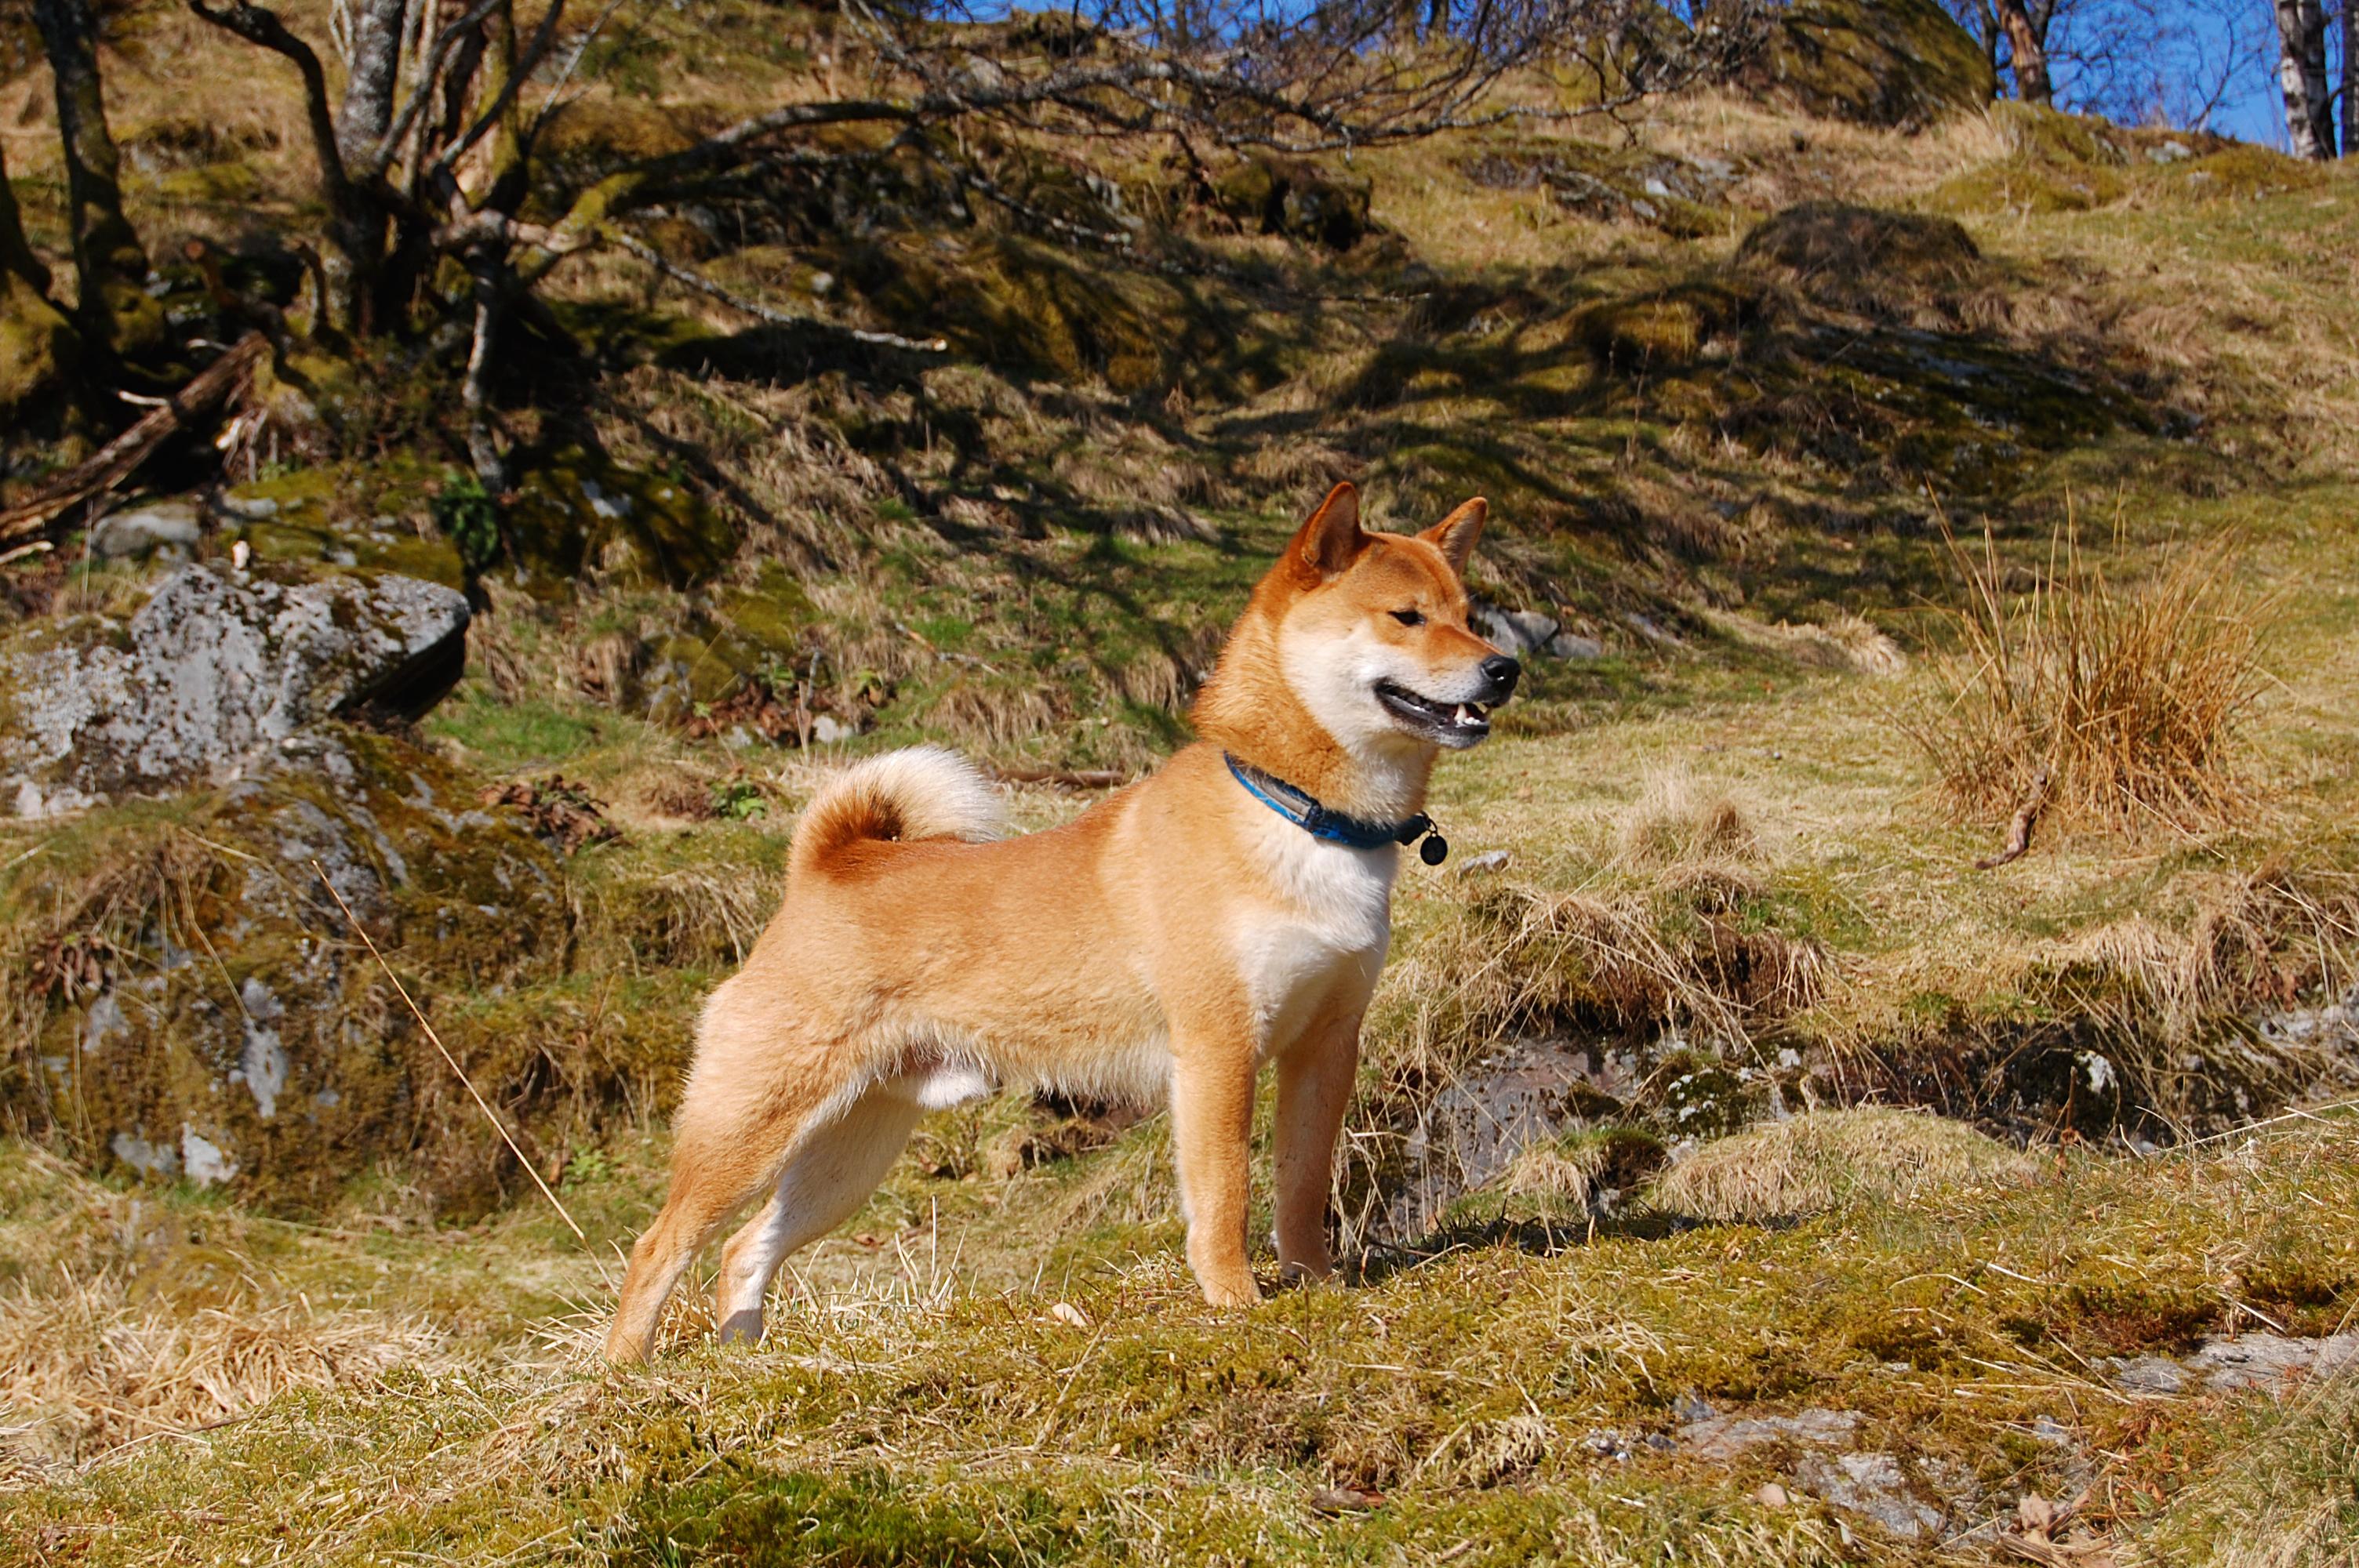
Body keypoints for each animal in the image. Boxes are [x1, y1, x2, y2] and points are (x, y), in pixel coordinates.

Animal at [604, 476, 1510, 1358]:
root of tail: (827, 868)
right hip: (753, 1124)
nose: (1504, 669)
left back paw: (742, 1362)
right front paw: (1235, 1302)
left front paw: (1316, 1286)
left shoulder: (1324, 1045)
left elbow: (1302, 1182)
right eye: (1407, 617)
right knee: (658, 1246)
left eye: (1472, 615)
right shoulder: (1218, 1050)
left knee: (741, 1247)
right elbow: (1225, 1193)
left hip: (852, 1149)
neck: (1298, 814)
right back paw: (625, 1374)